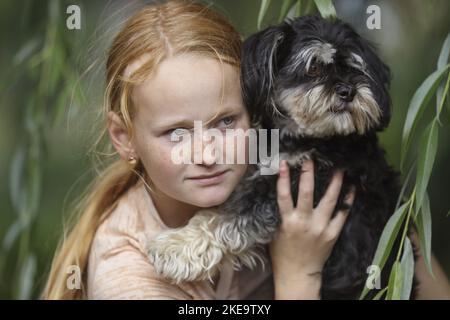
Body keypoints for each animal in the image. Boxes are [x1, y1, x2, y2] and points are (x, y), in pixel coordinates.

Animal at [148, 15, 414, 300]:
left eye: (356, 69)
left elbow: (227, 215)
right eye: (313, 68)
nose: (348, 91)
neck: (307, 139)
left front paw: (174, 247)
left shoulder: (303, 184)